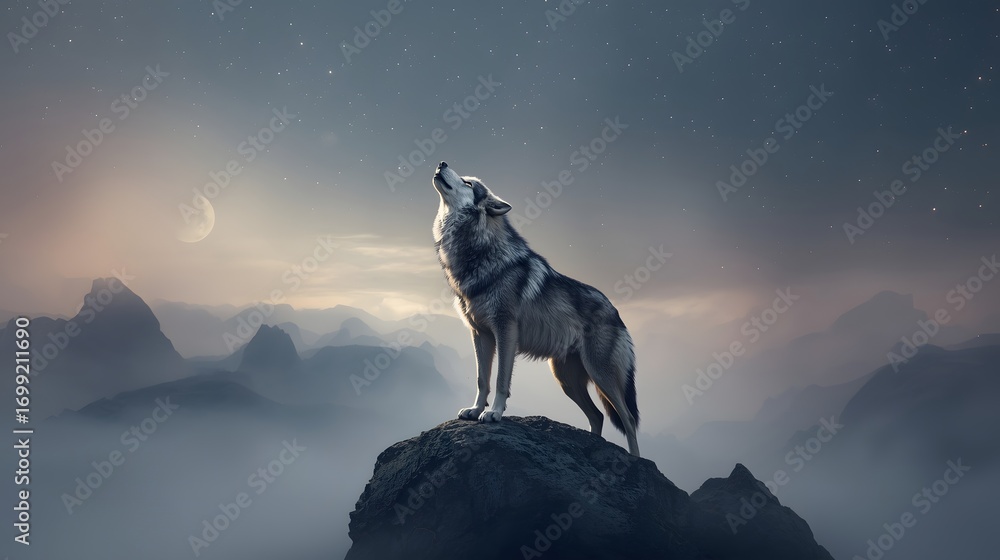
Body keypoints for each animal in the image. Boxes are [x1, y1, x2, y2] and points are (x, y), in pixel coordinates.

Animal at [432, 161, 640, 456]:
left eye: (469, 183)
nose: (442, 163)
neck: (478, 254)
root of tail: (617, 313)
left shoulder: (505, 331)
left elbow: (500, 380)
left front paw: (494, 413)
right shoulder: (479, 334)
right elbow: (482, 379)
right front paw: (475, 410)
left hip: (602, 376)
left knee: (628, 420)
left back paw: (638, 460)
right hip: (566, 380)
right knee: (598, 415)